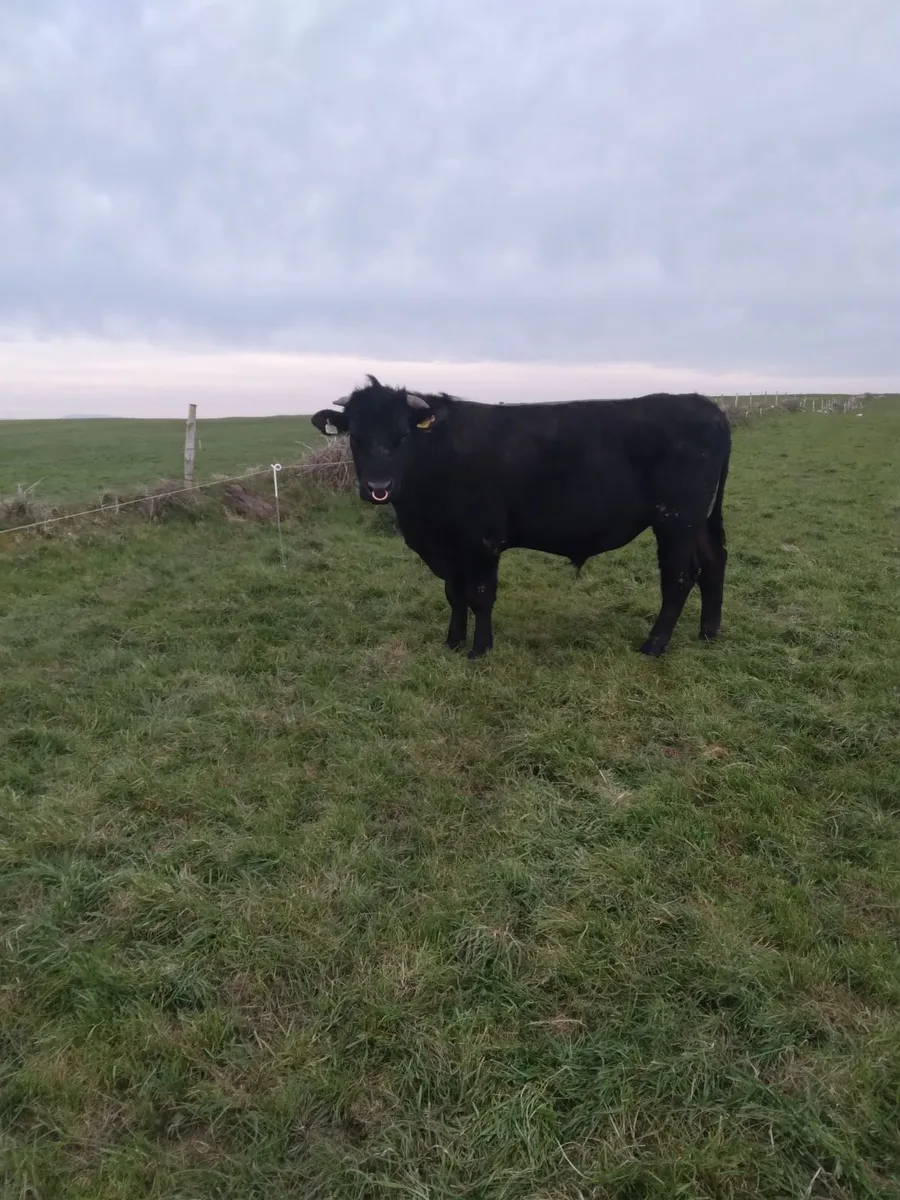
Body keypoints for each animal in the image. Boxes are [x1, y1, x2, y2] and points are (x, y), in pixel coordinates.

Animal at [312, 375, 731, 660]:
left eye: (403, 435)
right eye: (354, 436)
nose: (377, 486)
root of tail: (705, 405)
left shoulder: (481, 539)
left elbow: (480, 595)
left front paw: (480, 649)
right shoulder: (448, 547)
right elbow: (454, 594)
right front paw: (452, 642)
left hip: (676, 520)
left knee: (679, 577)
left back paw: (653, 645)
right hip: (698, 521)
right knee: (713, 562)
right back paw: (709, 632)